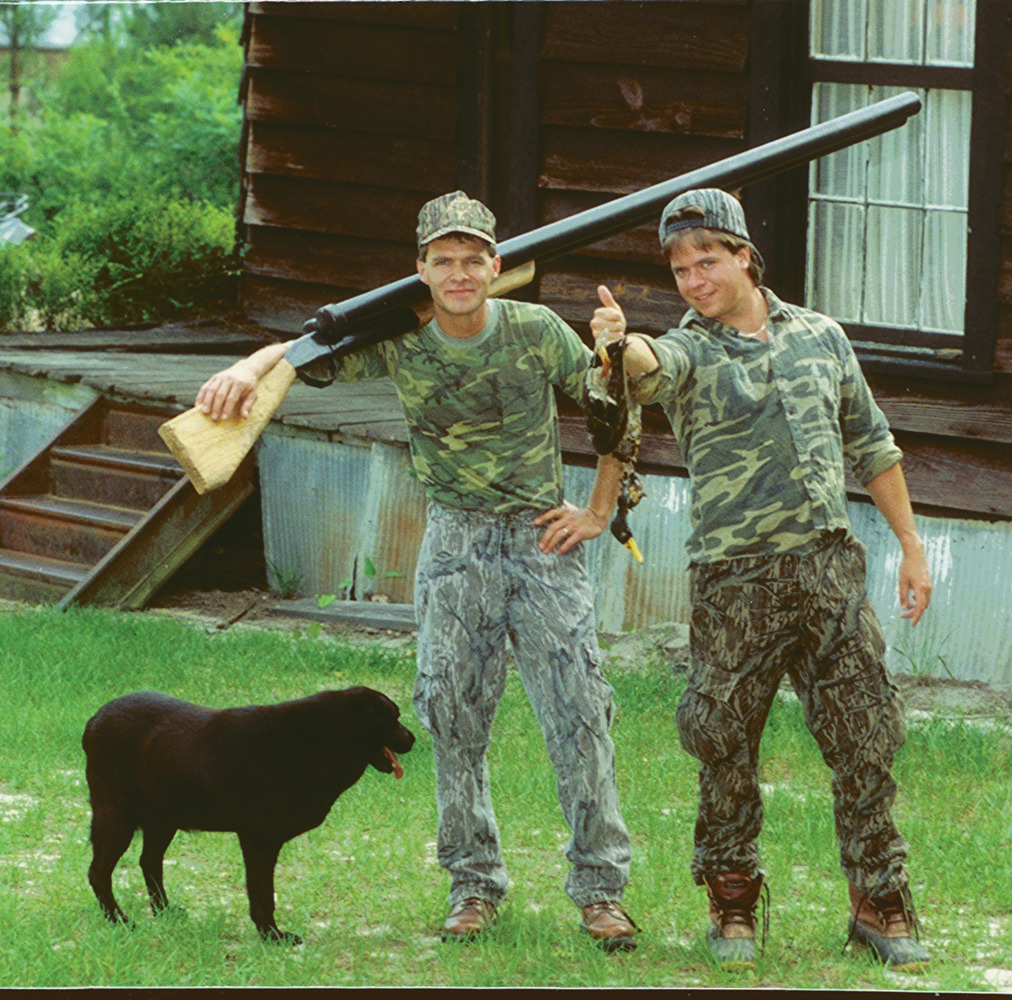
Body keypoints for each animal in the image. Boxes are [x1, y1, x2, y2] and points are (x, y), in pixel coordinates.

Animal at [81, 684, 414, 943]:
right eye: (393, 718)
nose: (412, 738)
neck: (319, 740)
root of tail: (95, 718)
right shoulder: (259, 839)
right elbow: (262, 893)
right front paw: (272, 936)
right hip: (116, 815)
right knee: (99, 872)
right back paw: (118, 920)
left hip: (163, 817)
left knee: (149, 862)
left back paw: (165, 912)